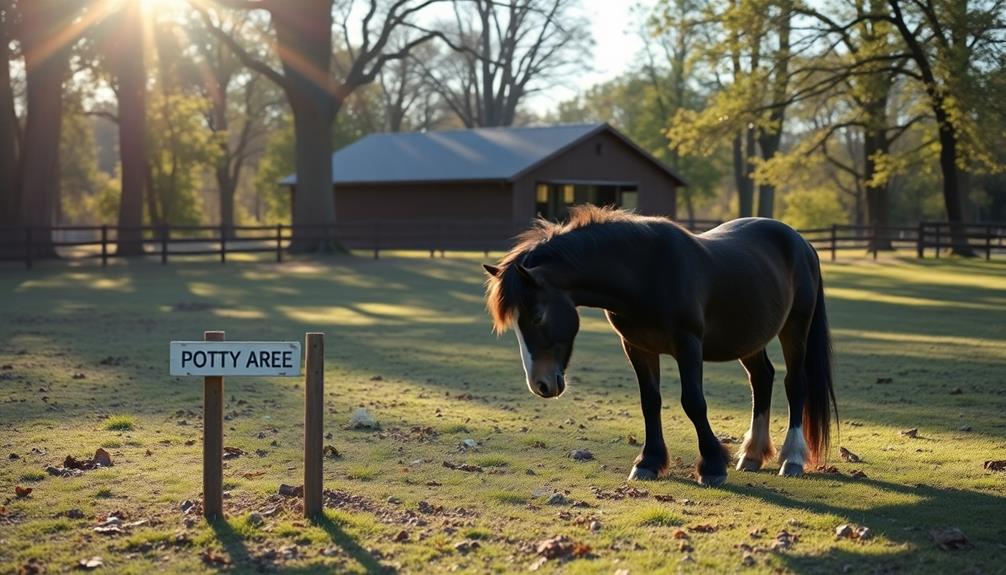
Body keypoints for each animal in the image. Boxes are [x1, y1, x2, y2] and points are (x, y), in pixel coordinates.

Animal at [482, 207, 836, 484]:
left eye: (537, 315)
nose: (539, 384)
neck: (645, 272)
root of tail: (801, 242)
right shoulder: (637, 347)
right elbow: (649, 402)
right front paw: (648, 463)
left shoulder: (688, 344)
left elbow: (693, 402)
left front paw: (712, 465)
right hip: (749, 339)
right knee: (762, 379)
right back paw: (752, 455)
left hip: (795, 329)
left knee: (795, 385)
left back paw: (792, 458)